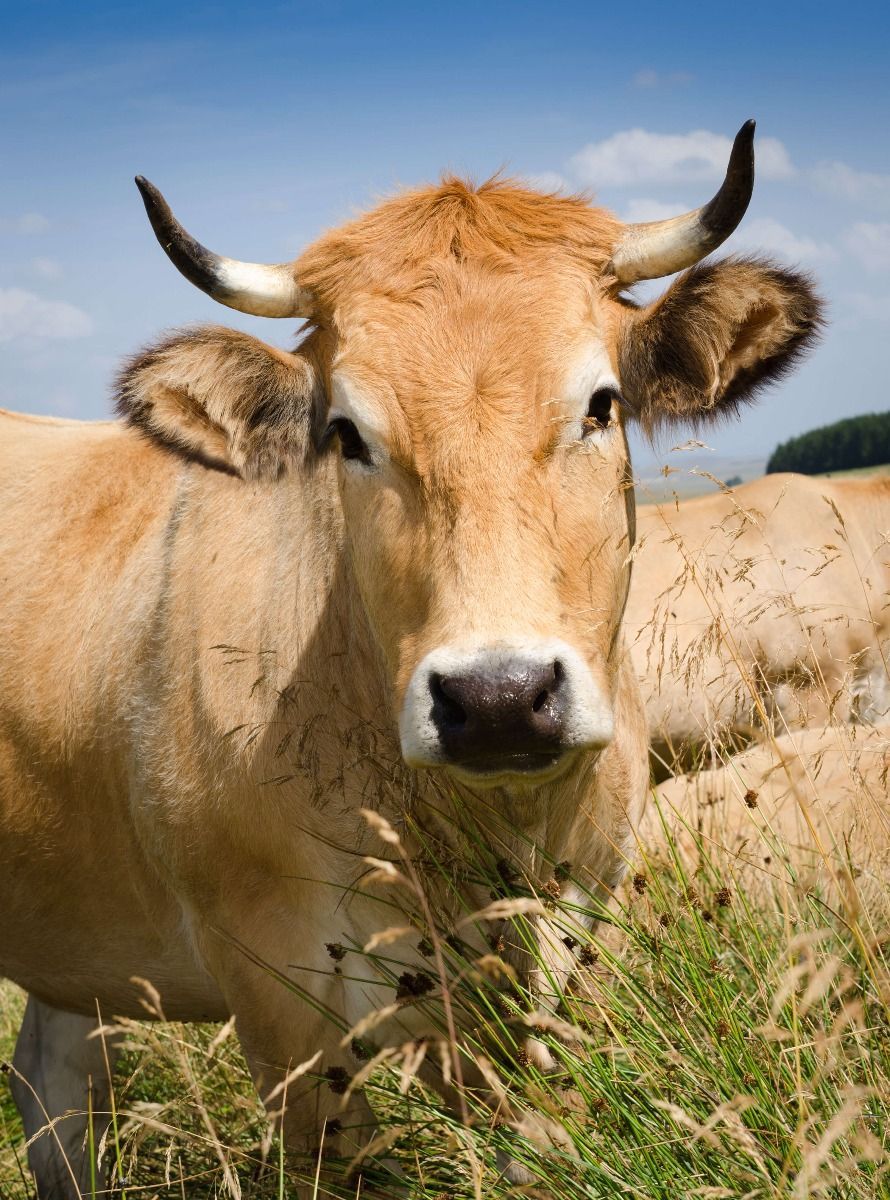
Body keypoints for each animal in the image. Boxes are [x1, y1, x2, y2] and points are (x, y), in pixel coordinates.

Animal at [0, 124, 820, 1200]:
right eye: (347, 434)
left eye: (600, 405)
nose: (499, 697)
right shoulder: (278, 999)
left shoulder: (577, 942)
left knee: (54, 1090)